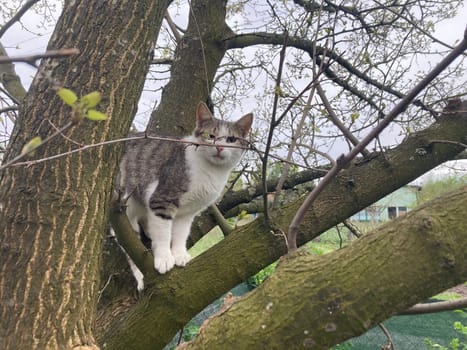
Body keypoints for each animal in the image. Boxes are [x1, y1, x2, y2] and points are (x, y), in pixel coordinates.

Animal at [118, 102, 256, 290]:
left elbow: (181, 233)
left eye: (231, 139)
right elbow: (163, 232)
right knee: (129, 245)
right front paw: (164, 258)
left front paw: (179, 255)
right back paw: (140, 276)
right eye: (210, 135)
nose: (219, 147)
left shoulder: (188, 212)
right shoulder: (162, 199)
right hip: (125, 206)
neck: (211, 171)